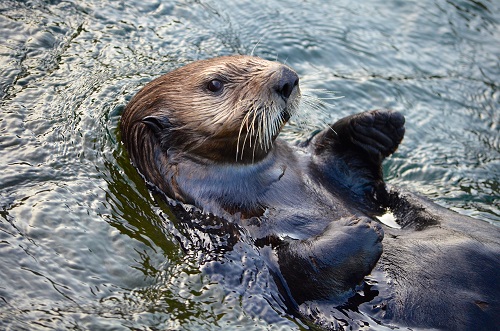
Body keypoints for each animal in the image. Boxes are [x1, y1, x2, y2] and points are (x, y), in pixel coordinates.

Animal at [121, 55, 500, 330]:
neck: (268, 184)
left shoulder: (330, 173)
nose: (286, 77)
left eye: (253, 57)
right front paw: (361, 229)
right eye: (215, 84)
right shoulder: (238, 243)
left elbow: (347, 161)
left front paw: (378, 124)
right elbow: (297, 270)